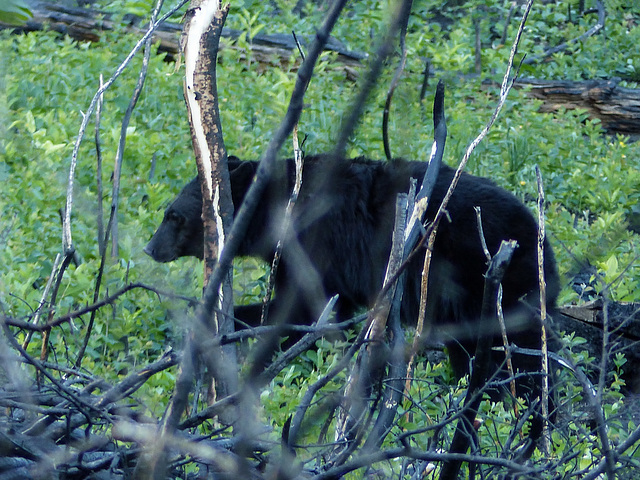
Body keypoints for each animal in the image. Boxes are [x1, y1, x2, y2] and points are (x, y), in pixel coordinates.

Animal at [145, 156, 560, 392]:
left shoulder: (316, 245)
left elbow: (298, 314)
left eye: (173, 216)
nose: (150, 248)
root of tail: (543, 243)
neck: (281, 208)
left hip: (496, 285)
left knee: (519, 356)